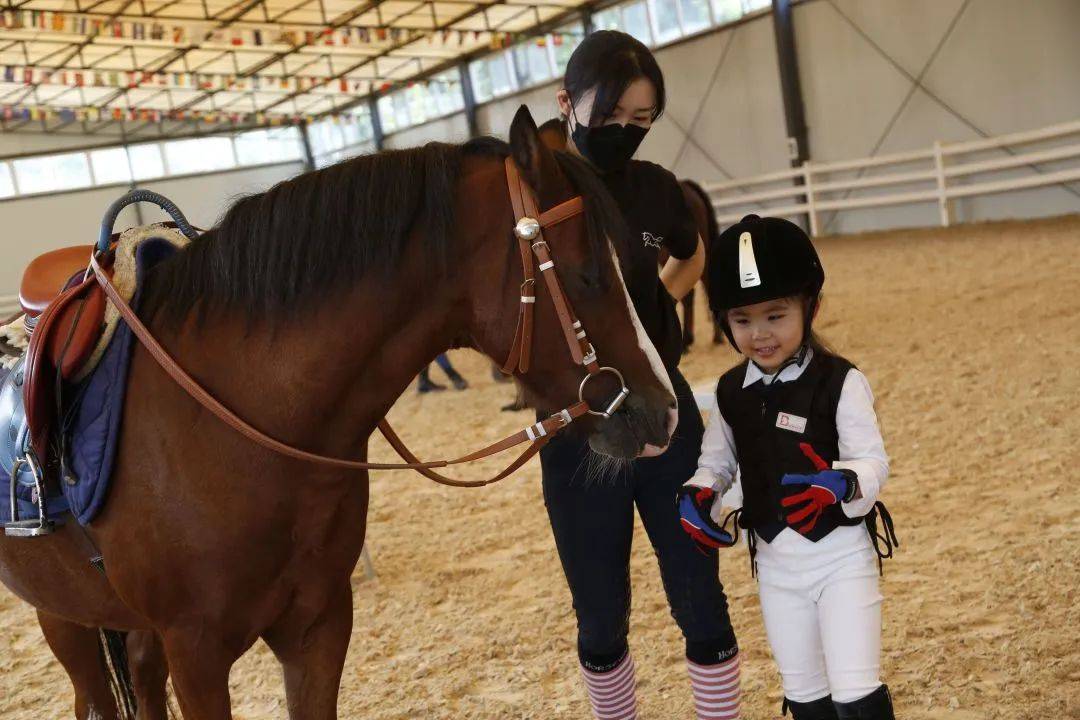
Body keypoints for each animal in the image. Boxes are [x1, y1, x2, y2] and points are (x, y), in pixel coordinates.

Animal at [0, 108, 673, 720]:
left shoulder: (317, 629)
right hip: (63, 615)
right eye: (588, 272)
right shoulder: (197, 655)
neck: (238, 425)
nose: (661, 412)